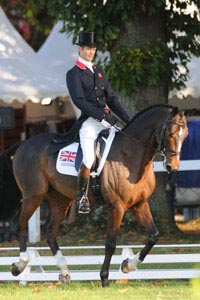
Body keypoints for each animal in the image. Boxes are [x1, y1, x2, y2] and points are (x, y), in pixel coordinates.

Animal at [10, 105, 192, 286]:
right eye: (170, 133)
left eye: (186, 135)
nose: (173, 167)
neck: (129, 155)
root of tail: (24, 144)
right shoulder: (116, 206)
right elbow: (110, 243)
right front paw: (104, 278)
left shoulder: (139, 204)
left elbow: (153, 235)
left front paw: (127, 265)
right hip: (34, 195)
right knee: (19, 226)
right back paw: (19, 265)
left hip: (60, 199)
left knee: (50, 232)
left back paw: (64, 271)